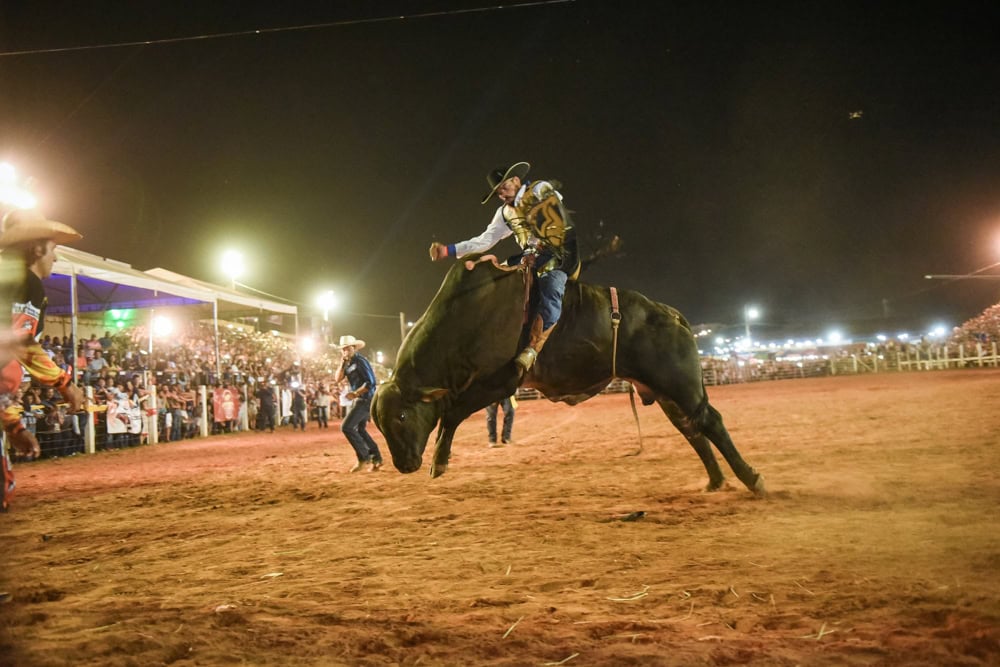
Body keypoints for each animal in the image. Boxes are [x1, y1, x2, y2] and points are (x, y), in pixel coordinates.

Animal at [370, 258, 764, 498]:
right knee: (692, 429)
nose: (404, 465)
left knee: (709, 421)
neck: (466, 316)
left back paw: (752, 479)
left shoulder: (502, 381)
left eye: (402, 416)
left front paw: (439, 461)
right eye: (380, 424)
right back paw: (715, 480)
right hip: (665, 392)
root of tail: (672, 315)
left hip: (680, 384)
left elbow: (451, 414)